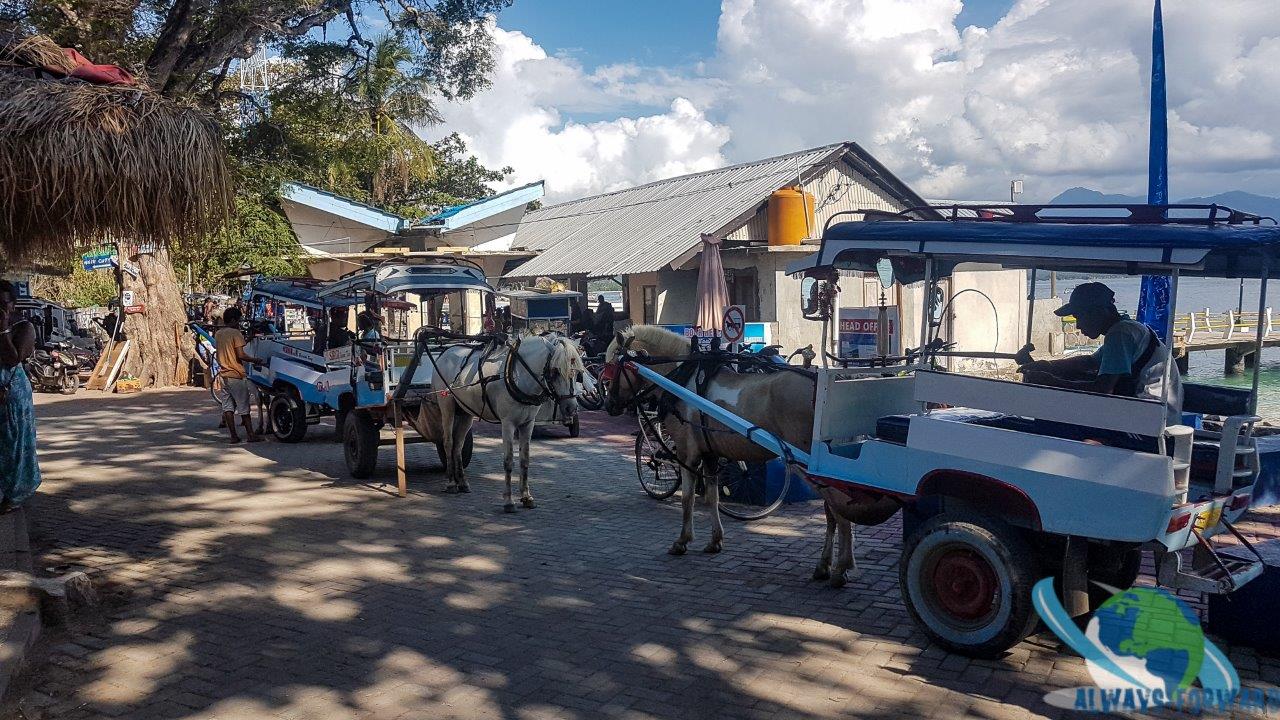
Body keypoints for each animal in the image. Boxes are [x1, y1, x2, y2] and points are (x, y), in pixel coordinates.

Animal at [430, 333, 581, 507]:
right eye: (555, 371)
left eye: (577, 372)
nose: (571, 408)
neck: (519, 375)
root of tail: (446, 352)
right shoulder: (508, 423)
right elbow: (508, 461)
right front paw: (508, 501)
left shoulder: (528, 424)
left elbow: (525, 459)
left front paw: (526, 496)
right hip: (447, 406)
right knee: (448, 442)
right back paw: (451, 483)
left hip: (466, 411)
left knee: (458, 445)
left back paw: (462, 482)